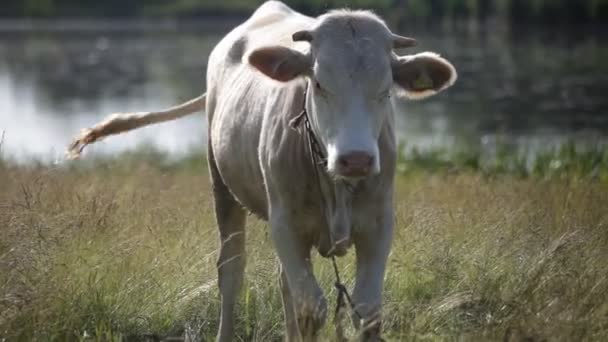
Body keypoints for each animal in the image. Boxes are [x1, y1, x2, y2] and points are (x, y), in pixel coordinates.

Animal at [66, 1, 456, 340]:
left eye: (386, 90)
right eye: (318, 84)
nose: (356, 159)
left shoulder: (378, 224)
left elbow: (367, 310)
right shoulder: (285, 225)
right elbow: (311, 308)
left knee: (285, 284)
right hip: (222, 187)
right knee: (231, 272)